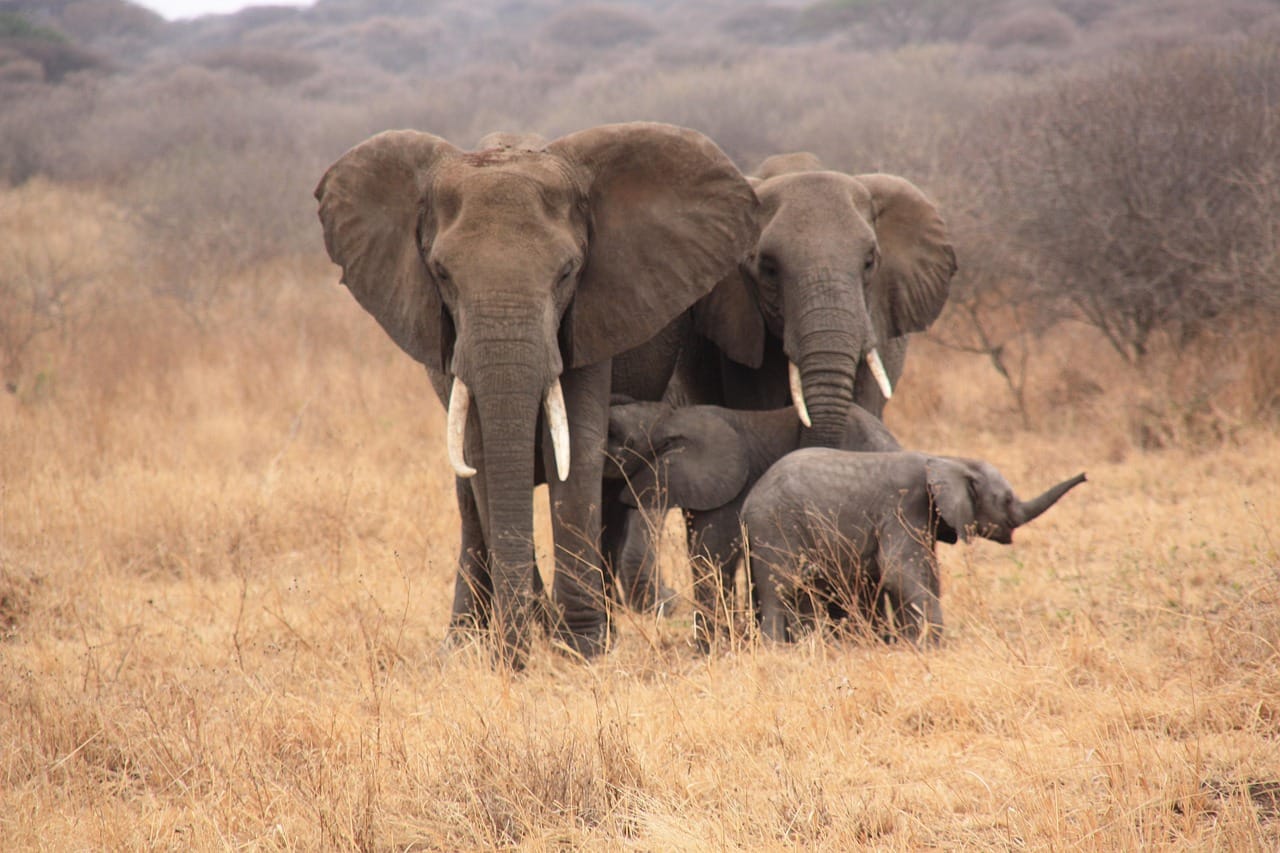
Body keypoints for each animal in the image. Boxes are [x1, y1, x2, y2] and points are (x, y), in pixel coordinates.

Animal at [314, 122, 758, 667]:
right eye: (442, 274)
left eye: (567, 271)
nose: (518, 652)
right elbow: (483, 456)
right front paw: (527, 646)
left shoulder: (591, 311)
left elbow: (579, 452)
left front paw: (582, 649)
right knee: (467, 499)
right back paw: (461, 645)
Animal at [742, 449, 1086, 645]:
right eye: (1007, 499)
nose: (1084, 475)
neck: (949, 459)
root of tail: (747, 504)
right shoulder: (905, 507)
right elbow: (899, 572)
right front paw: (931, 644)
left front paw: (909, 643)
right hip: (775, 527)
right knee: (782, 588)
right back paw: (780, 650)